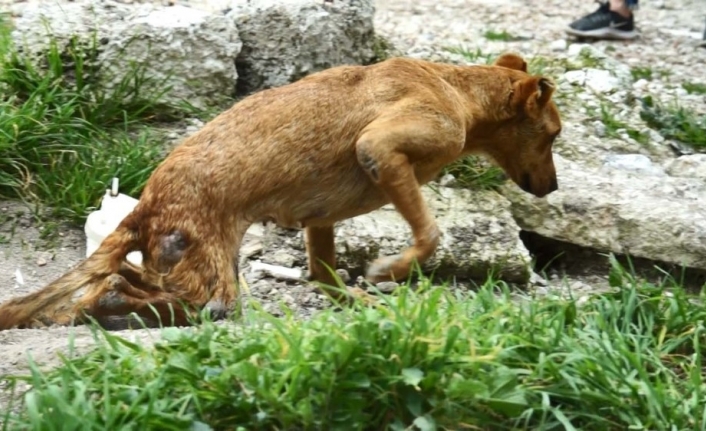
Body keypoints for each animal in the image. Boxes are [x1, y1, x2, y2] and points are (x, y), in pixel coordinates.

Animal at [0, 53, 560, 330]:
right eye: (554, 134)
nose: (553, 188)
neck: (457, 90)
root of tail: (147, 206)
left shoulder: (322, 218)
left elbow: (327, 278)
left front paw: (369, 301)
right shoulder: (381, 147)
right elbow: (429, 235)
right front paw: (388, 271)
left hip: (193, 270)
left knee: (103, 289)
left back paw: (92, 310)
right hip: (213, 281)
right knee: (141, 293)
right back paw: (115, 308)